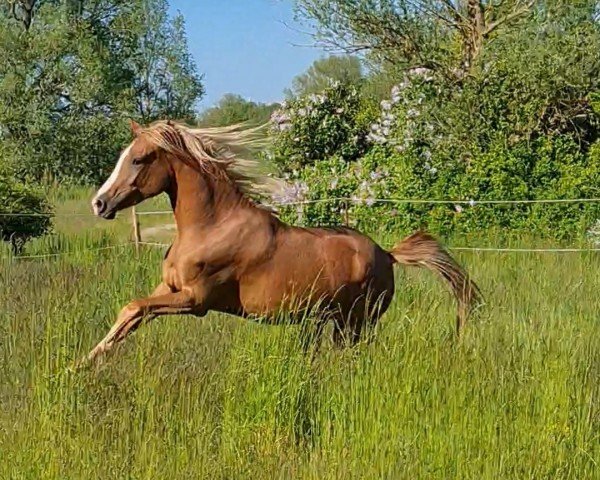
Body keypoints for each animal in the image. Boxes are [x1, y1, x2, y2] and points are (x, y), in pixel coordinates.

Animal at [84, 120, 480, 364]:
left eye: (138, 159)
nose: (99, 203)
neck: (212, 227)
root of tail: (387, 254)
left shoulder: (196, 300)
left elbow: (135, 307)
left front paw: (82, 366)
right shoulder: (169, 287)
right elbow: (130, 313)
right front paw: (84, 363)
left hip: (358, 322)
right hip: (332, 321)